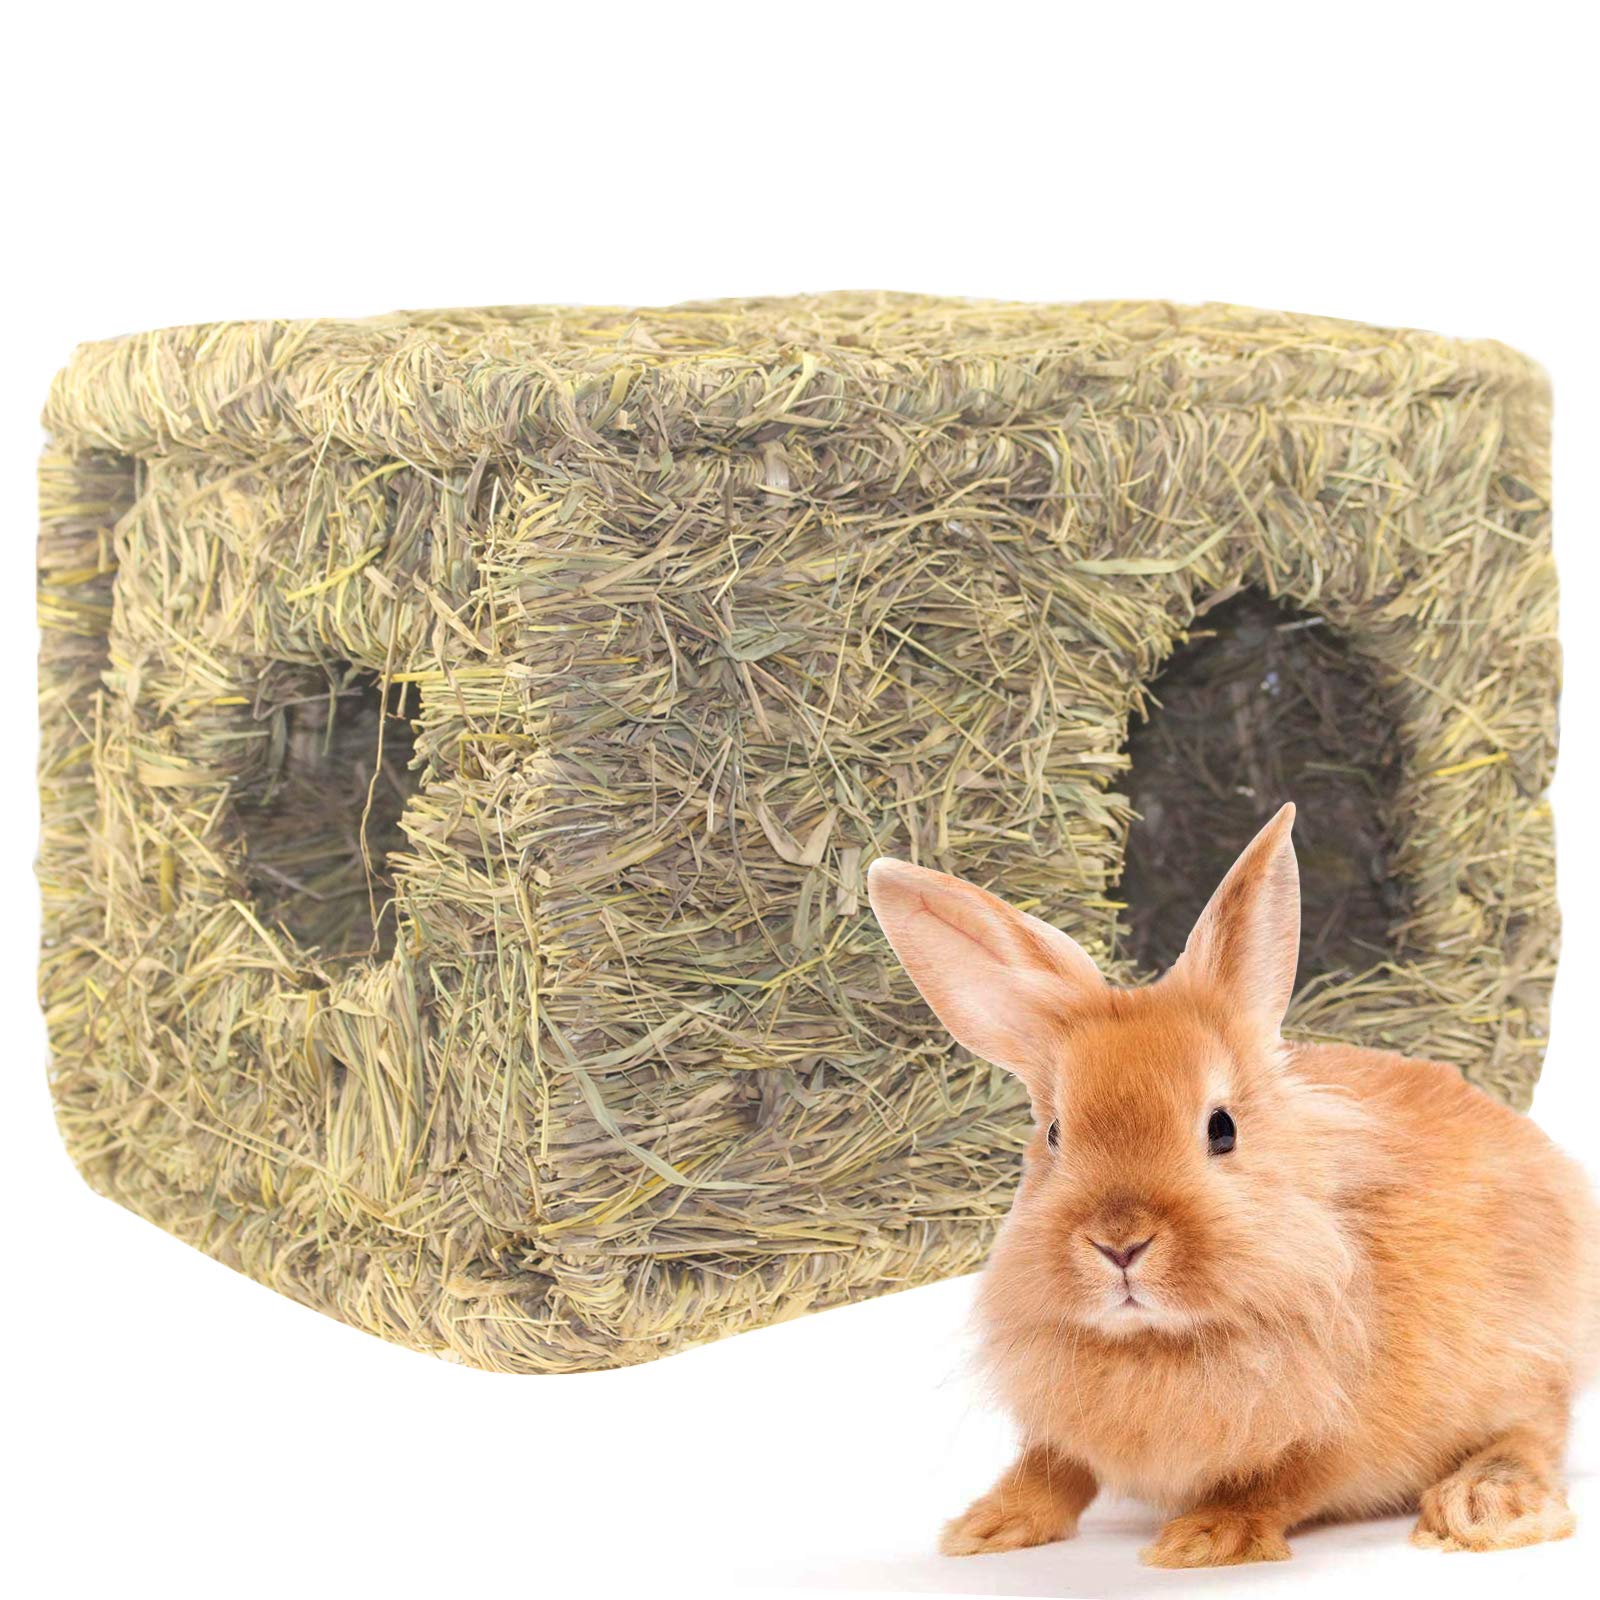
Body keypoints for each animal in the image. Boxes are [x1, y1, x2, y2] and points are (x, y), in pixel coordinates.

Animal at [867, 803, 1600, 1567]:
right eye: (1054, 1136)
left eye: (1222, 1129)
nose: (1120, 1244)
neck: (1157, 1342)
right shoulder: (1062, 1428)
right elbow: (1054, 1466)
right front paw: (987, 1527)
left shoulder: (1333, 1437)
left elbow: (1280, 1480)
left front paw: (1203, 1539)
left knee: (1536, 1429)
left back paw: (1486, 1504)